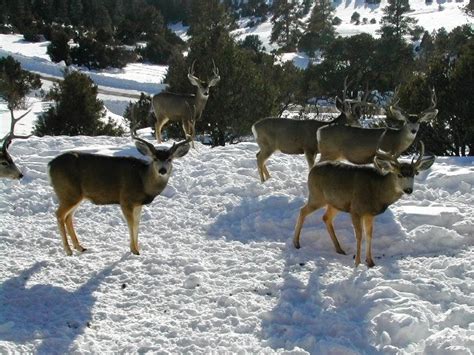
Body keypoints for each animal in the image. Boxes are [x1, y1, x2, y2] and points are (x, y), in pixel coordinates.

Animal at [47, 136, 190, 256]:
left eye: (170, 159)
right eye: (154, 158)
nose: (162, 170)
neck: (143, 182)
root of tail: (50, 165)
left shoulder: (138, 204)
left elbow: (137, 224)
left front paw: (137, 248)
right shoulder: (126, 199)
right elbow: (131, 224)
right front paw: (134, 250)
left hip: (76, 196)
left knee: (68, 217)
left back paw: (80, 247)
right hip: (68, 192)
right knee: (59, 214)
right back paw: (68, 250)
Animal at [294, 141, 436, 268]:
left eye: (415, 173)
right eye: (399, 174)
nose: (408, 190)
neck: (378, 191)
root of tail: (312, 169)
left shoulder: (369, 214)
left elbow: (369, 235)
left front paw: (370, 262)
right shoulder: (356, 209)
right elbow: (359, 236)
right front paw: (357, 263)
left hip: (335, 203)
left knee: (326, 217)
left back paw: (339, 249)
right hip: (317, 196)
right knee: (302, 210)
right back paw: (296, 243)